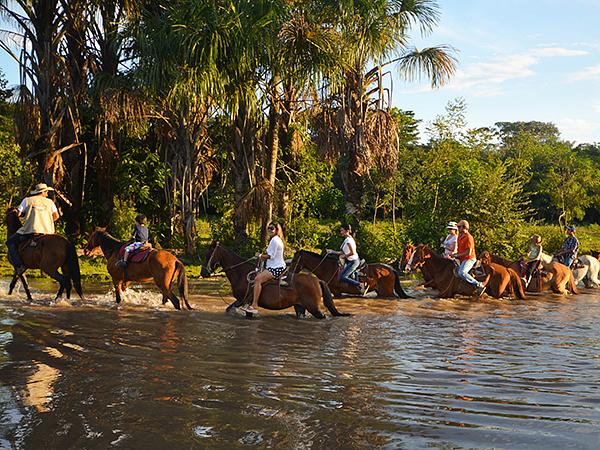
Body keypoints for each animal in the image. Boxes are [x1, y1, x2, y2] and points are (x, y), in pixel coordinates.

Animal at [199, 241, 350, 318]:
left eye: (209, 254)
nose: (203, 272)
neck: (241, 273)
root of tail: (316, 281)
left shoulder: (245, 300)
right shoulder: (240, 300)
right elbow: (229, 309)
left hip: (314, 307)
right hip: (299, 307)